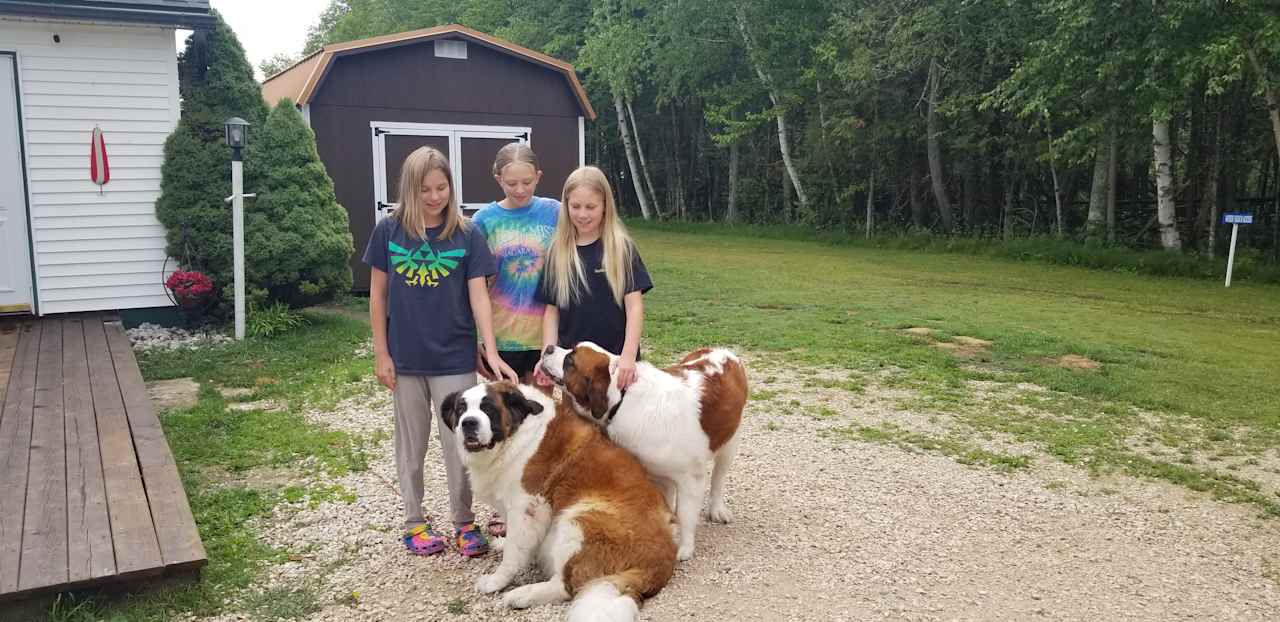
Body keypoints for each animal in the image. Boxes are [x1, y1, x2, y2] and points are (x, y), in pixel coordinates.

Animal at [442, 381, 680, 619]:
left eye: (488, 408)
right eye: (461, 409)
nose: (468, 422)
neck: (516, 435)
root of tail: (661, 562)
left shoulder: (527, 507)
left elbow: (513, 552)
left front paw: (496, 581)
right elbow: (515, 541)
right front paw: (504, 542)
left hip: (580, 517)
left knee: (567, 585)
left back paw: (522, 595)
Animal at [535, 342, 747, 560]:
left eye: (570, 360)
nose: (549, 347)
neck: (621, 399)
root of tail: (723, 351)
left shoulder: (691, 478)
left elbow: (687, 514)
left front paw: (685, 547)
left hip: (731, 440)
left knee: (718, 478)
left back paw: (717, 509)